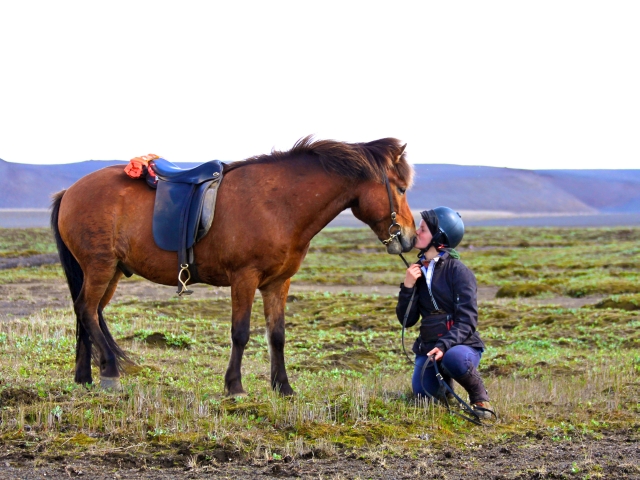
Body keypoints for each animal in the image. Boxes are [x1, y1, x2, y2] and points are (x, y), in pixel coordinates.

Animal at [52, 135, 418, 394]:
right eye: (401, 188)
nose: (411, 238)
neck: (279, 204)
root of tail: (70, 191)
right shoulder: (245, 278)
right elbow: (240, 333)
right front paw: (235, 386)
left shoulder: (277, 283)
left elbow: (277, 335)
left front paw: (283, 387)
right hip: (100, 267)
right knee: (87, 310)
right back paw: (110, 371)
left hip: (110, 270)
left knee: (87, 313)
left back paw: (85, 377)